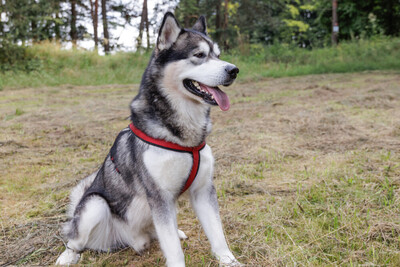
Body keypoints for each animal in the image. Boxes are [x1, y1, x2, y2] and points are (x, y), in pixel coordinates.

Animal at [55, 11, 239, 266]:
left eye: (218, 56)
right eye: (200, 55)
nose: (234, 70)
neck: (183, 138)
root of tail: (129, 238)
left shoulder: (203, 190)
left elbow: (217, 233)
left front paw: (228, 260)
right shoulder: (159, 197)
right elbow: (172, 248)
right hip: (94, 204)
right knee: (74, 239)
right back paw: (67, 255)